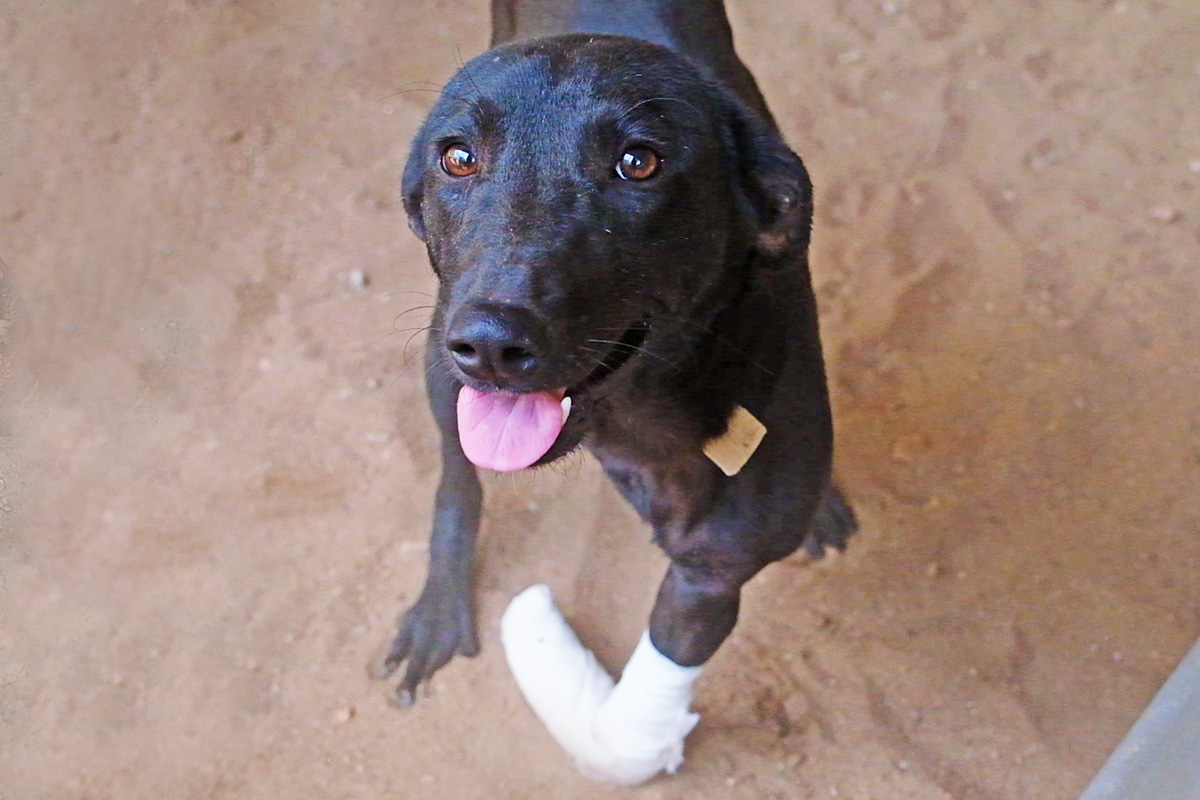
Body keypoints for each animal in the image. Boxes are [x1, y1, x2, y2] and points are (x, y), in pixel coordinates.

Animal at [374, 0, 854, 777]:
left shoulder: (711, 578)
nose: (491, 341)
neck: (636, 412)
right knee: (457, 475)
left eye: (638, 162)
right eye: (458, 157)